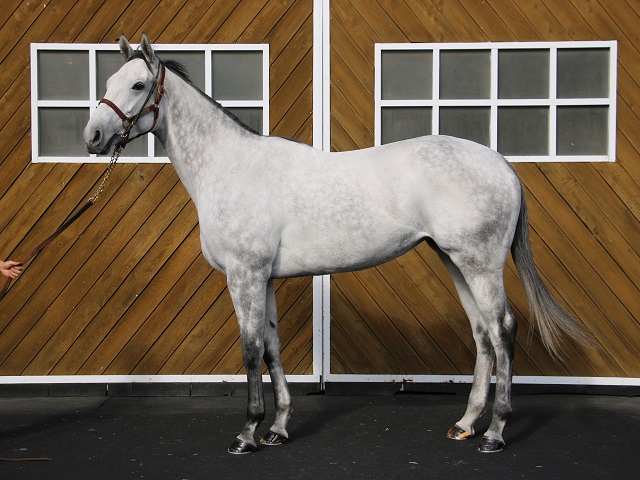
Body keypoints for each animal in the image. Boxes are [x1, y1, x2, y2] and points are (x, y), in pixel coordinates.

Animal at [84, 34, 593, 454]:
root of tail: (502, 164)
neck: (230, 167)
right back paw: (466, 424)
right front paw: (278, 429)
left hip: (480, 263)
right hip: (456, 261)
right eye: (109, 81)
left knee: (503, 330)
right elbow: (272, 347)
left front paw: (247, 434)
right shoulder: (264, 278)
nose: (92, 137)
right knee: (483, 334)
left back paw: (494, 433)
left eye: (137, 84)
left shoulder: (244, 275)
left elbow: (250, 349)